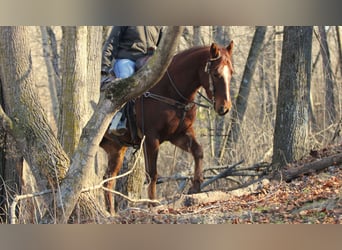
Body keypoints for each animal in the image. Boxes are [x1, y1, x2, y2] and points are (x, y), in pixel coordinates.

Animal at [99, 42, 232, 214]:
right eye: (216, 74)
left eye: (231, 72)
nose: (225, 107)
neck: (169, 91)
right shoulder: (151, 139)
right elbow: (152, 174)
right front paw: (152, 204)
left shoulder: (179, 134)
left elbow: (198, 151)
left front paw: (195, 186)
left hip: (116, 150)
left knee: (108, 180)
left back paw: (111, 213)